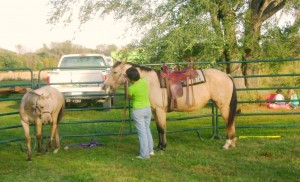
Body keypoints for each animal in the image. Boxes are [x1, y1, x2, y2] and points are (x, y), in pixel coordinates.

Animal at [104, 61, 238, 150]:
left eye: (114, 72)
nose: (105, 87)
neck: (152, 83)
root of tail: (227, 75)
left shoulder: (160, 110)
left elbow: (162, 128)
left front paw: (163, 146)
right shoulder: (154, 111)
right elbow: (159, 128)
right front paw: (159, 145)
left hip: (223, 106)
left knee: (229, 122)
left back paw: (227, 144)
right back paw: (232, 144)